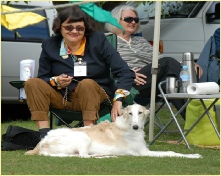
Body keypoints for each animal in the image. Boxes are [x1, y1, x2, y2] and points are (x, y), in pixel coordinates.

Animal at [38, 104, 202, 159]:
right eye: (130, 113)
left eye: (140, 113)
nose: (135, 127)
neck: (127, 126)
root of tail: (43, 143)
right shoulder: (143, 152)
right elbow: (171, 153)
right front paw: (194, 156)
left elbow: (173, 151)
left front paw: (194, 154)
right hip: (84, 138)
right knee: (83, 156)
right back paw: (106, 156)